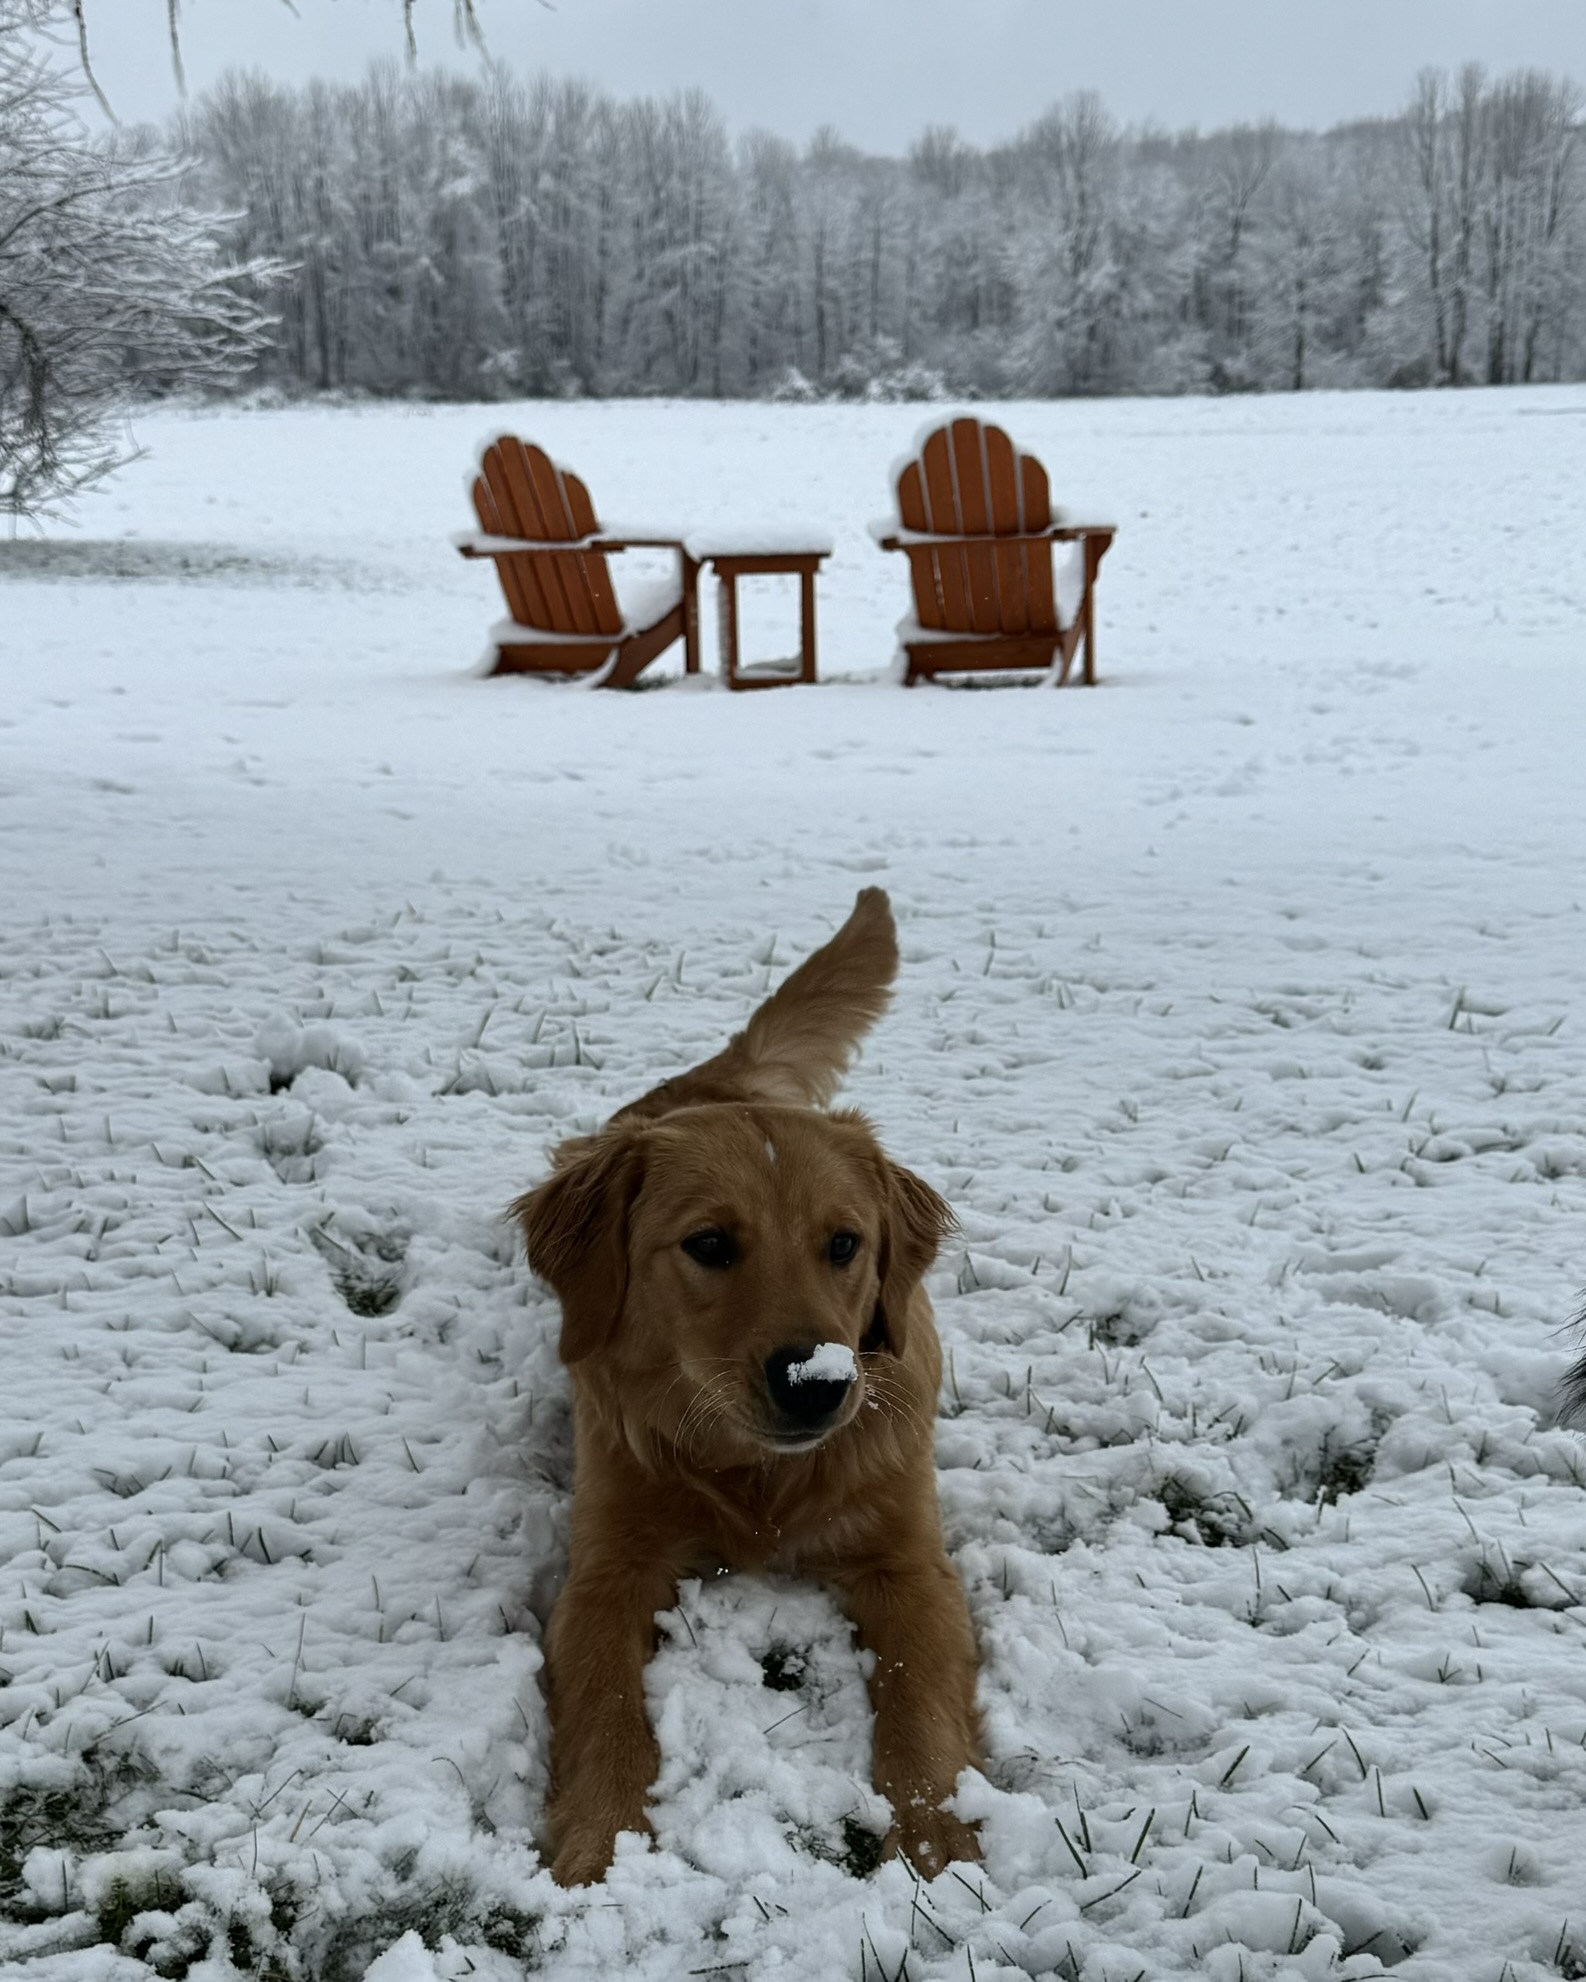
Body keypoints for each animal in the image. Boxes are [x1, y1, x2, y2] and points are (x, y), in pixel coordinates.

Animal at [515, 888, 982, 1886]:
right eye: (709, 1245)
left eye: (844, 1243)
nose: (816, 1384)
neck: (761, 1480)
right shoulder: (608, 1566)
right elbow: (607, 1705)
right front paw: (603, 1849)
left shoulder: (909, 1560)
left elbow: (921, 1703)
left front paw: (938, 1849)